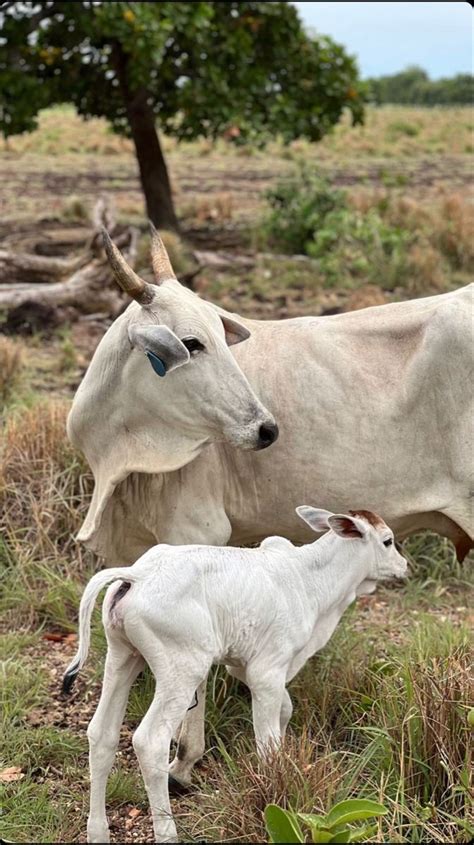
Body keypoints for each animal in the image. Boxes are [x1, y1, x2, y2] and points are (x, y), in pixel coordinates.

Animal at [63, 504, 408, 840]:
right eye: (387, 541)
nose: (403, 566)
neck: (308, 578)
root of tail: (137, 575)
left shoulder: (243, 664)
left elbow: (285, 710)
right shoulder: (267, 672)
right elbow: (267, 743)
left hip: (122, 657)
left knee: (102, 734)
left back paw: (97, 831)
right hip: (181, 670)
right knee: (150, 742)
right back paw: (167, 833)